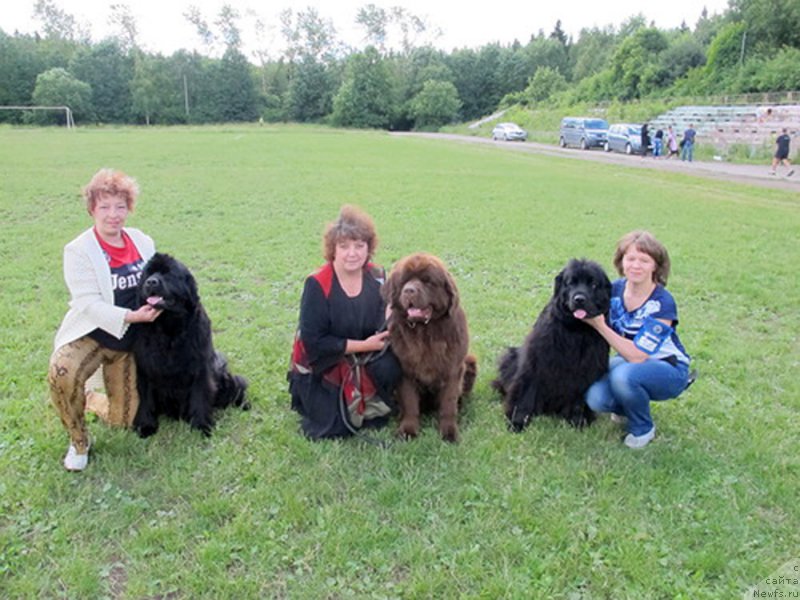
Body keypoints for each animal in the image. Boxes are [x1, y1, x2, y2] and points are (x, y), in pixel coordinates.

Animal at [133, 251, 248, 438]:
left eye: (168, 274)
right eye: (147, 274)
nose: (151, 282)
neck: (169, 328)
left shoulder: (200, 367)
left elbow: (200, 395)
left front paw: (202, 426)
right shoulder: (145, 367)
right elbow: (145, 397)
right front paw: (145, 425)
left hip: (224, 376)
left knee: (238, 387)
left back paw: (244, 404)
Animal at [382, 251, 476, 442]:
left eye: (427, 281)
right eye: (404, 281)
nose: (409, 290)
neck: (425, 332)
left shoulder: (453, 369)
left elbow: (448, 404)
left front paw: (449, 432)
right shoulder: (405, 370)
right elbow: (410, 403)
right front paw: (408, 430)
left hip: (470, 361)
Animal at [494, 258, 612, 432]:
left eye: (593, 284)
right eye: (570, 282)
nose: (579, 299)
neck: (576, 329)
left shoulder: (586, 369)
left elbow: (578, 397)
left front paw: (578, 420)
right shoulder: (535, 361)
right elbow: (525, 393)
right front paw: (518, 421)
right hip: (510, 356)